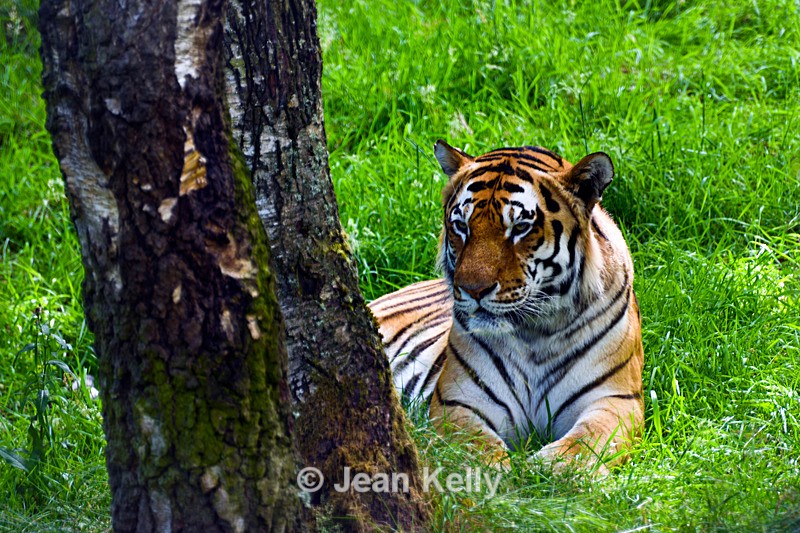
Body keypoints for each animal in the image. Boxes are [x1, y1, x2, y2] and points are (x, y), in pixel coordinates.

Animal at [368, 140, 644, 471]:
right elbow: (474, 448)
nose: (472, 289)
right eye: (461, 226)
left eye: (521, 227)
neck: (536, 333)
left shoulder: (615, 397)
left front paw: (552, 468)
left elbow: (586, 441)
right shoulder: (460, 400)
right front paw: (494, 472)